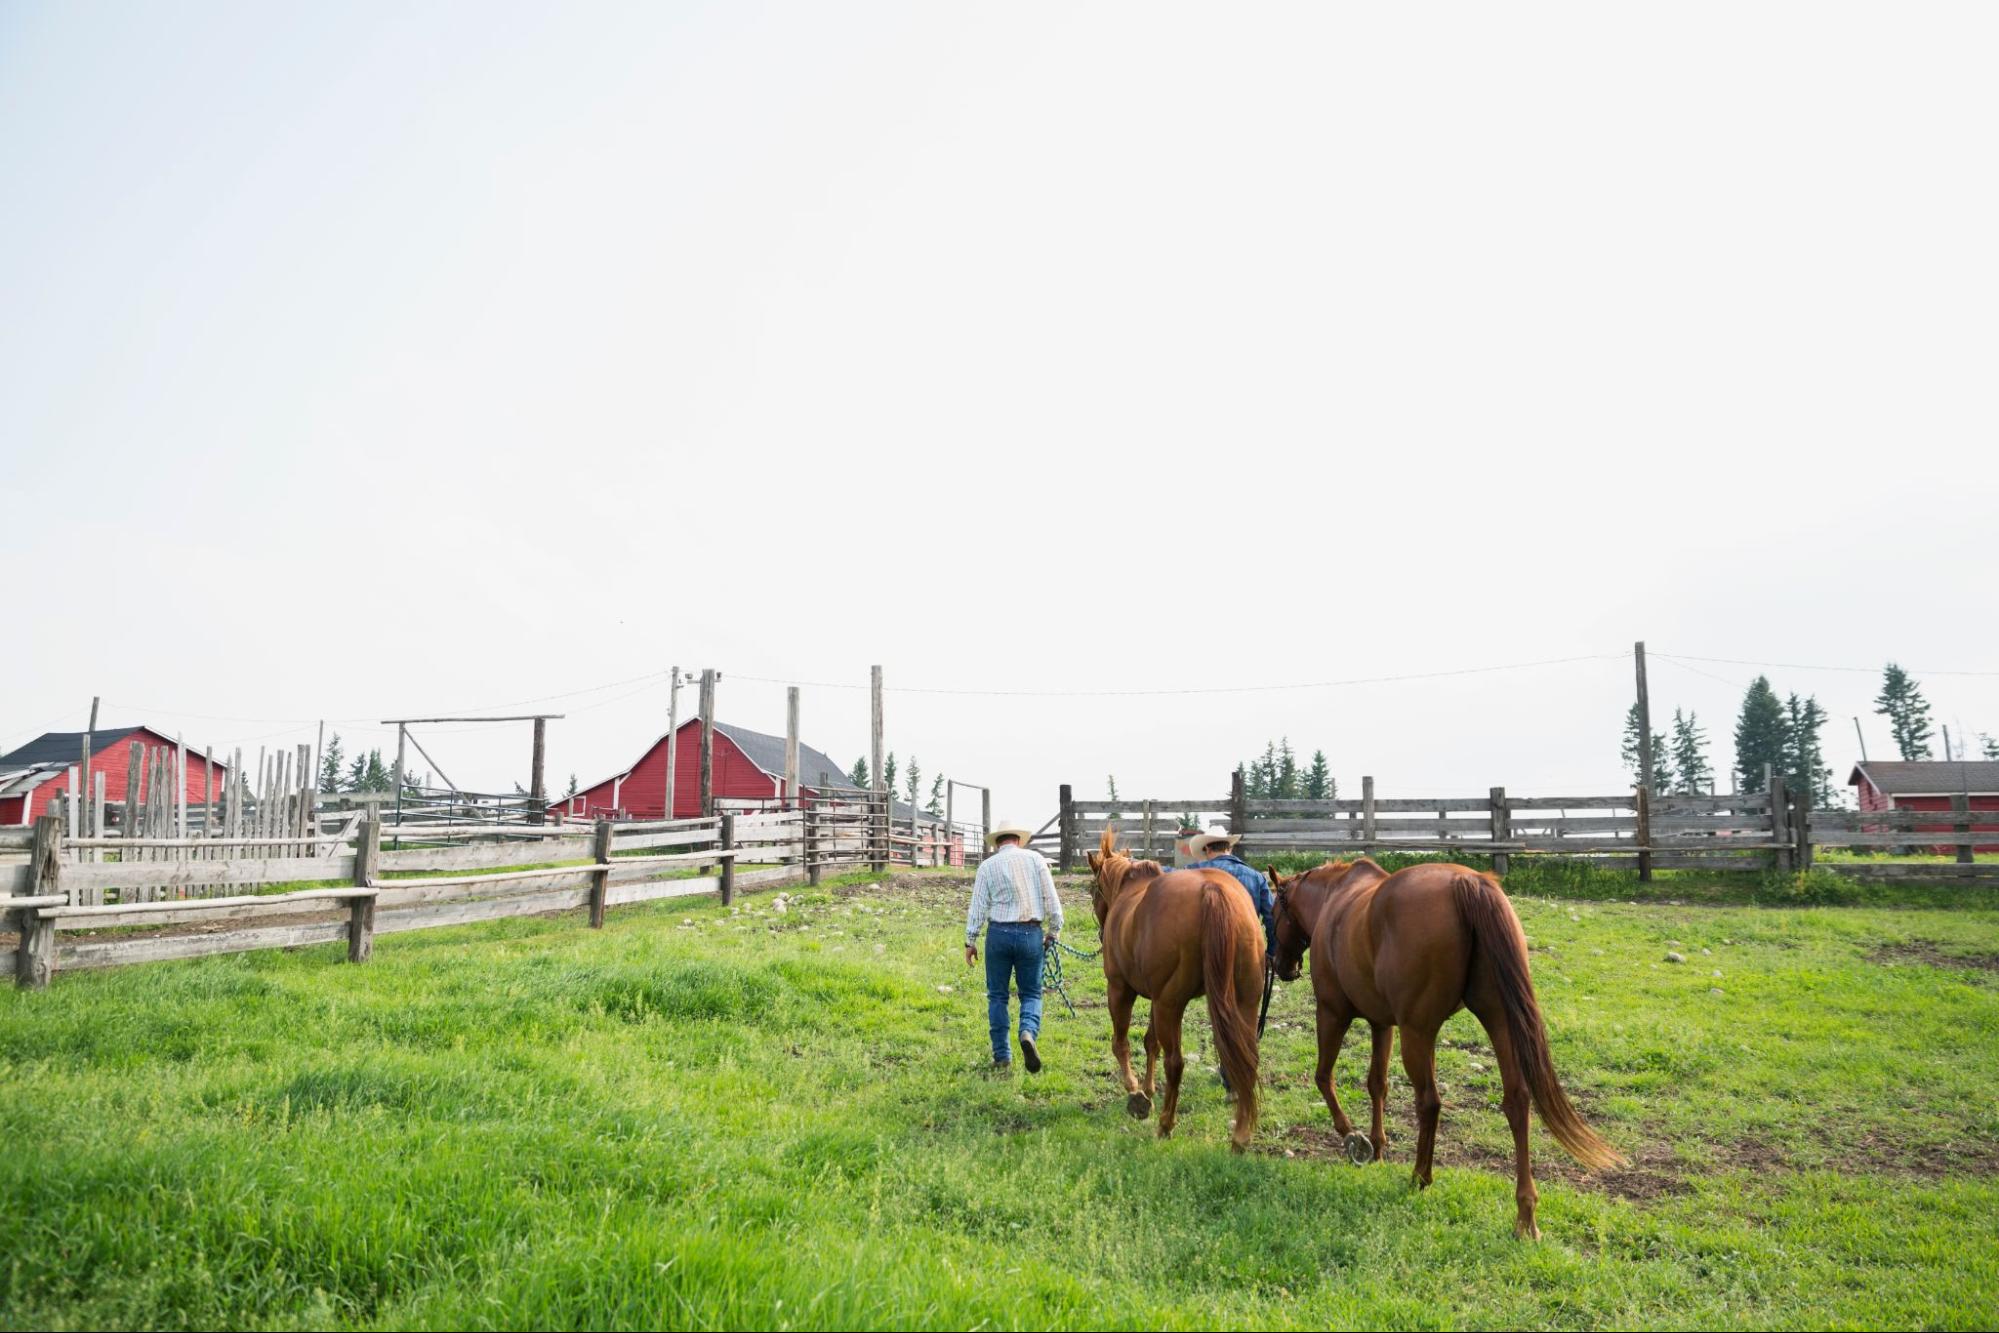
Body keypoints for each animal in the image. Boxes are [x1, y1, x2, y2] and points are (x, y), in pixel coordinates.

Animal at [1086, 828, 1264, 1151]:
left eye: (1094, 890)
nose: (1102, 932)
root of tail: (1211, 890)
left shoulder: (1120, 990)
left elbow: (1121, 1043)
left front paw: (1135, 1091)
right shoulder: (1156, 999)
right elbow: (1150, 1042)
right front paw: (1147, 1088)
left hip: (1170, 1004)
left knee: (1176, 1063)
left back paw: (1166, 1125)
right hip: (1244, 1001)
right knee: (1249, 1058)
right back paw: (1241, 1135)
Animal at [1268, 858, 1623, 1238]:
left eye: (1273, 911)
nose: (1281, 966)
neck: (1335, 899)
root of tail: (1468, 883)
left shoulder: (1332, 1012)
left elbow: (1324, 1077)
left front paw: (1354, 1138)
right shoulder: (1382, 1024)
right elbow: (1377, 1084)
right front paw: (1378, 1146)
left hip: (1417, 1033)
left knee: (1429, 1102)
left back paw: (1420, 1176)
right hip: (1497, 1022)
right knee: (1516, 1101)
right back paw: (1525, 1214)